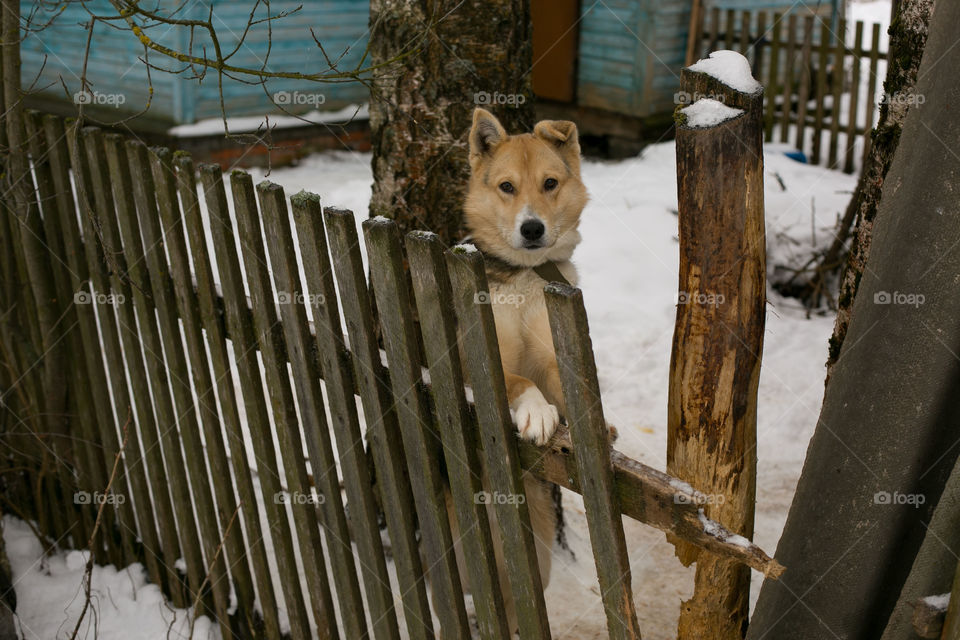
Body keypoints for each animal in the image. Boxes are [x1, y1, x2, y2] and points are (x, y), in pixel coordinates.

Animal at [446, 107, 588, 632]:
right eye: (507, 187)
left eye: (550, 183)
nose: (531, 228)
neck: (527, 277)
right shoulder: (479, 359)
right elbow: (518, 381)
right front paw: (536, 413)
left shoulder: (551, 355)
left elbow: (566, 384)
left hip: (539, 562)